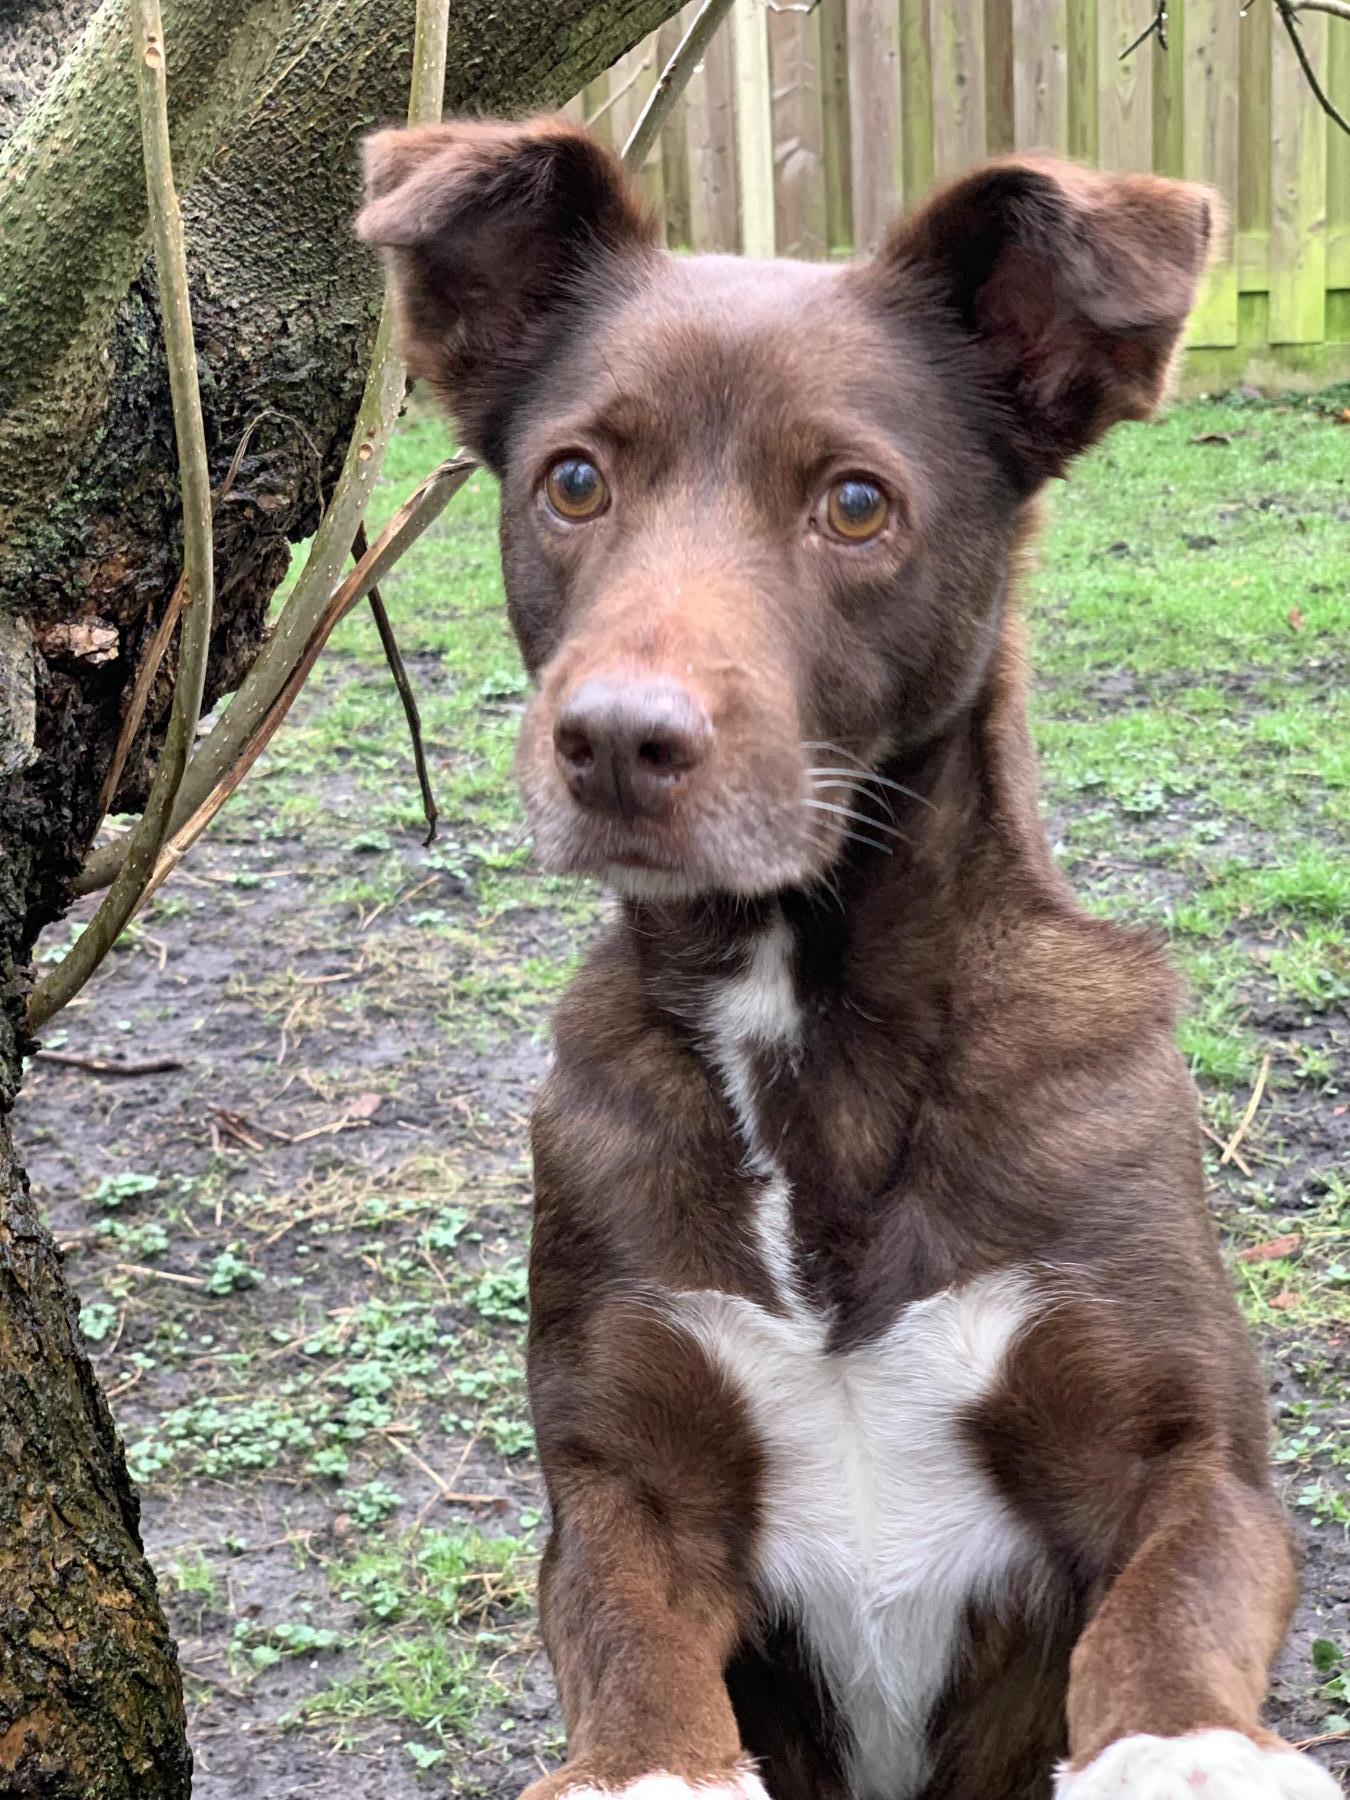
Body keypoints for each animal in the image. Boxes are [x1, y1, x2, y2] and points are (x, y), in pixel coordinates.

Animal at [357, 119, 1340, 1800]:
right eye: (572, 481)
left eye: (857, 504)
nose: (614, 743)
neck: (811, 1037)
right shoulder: (624, 1481)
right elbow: (624, 1643)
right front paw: (651, 1772)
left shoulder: (1181, 1444)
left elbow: (1174, 1595)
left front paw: (1188, 1751)